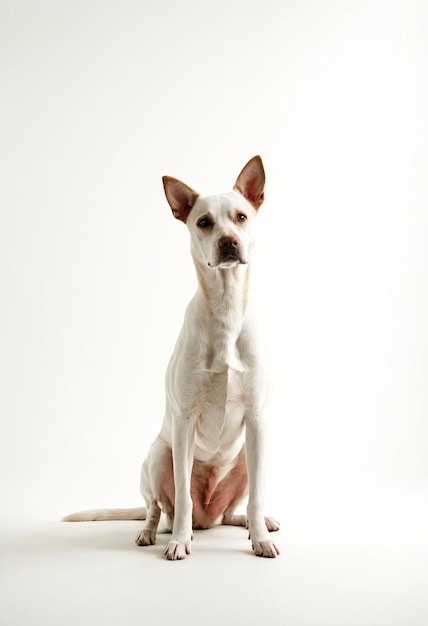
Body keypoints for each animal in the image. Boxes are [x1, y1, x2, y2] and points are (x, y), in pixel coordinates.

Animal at [61, 158, 280, 560]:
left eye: (241, 216)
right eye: (204, 221)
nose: (229, 242)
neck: (225, 310)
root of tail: (209, 519)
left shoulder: (258, 420)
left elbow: (257, 495)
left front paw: (260, 538)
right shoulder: (183, 422)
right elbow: (182, 498)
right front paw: (179, 541)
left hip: (244, 457)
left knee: (230, 512)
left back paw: (252, 522)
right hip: (157, 455)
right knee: (159, 509)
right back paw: (152, 533)